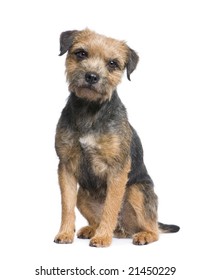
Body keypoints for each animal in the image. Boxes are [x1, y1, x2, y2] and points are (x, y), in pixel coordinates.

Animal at [54, 29, 180, 247]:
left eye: (113, 63)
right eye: (81, 53)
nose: (92, 76)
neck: (90, 111)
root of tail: (125, 230)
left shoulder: (117, 170)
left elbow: (111, 207)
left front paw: (103, 237)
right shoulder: (66, 167)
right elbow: (66, 206)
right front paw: (65, 233)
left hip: (137, 191)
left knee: (153, 228)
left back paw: (142, 235)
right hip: (82, 196)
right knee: (100, 220)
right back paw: (92, 229)